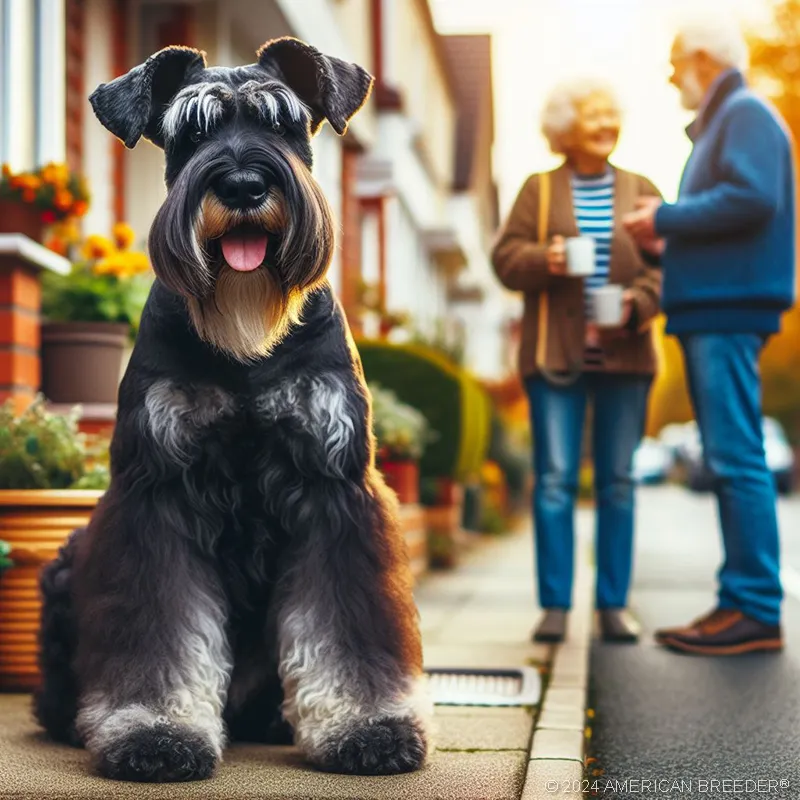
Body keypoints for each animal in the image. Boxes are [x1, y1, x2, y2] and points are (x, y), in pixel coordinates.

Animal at [32, 37, 432, 780]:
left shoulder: (335, 491)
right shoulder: (158, 495)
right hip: (71, 560)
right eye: (190, 133)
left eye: (286, 123)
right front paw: (153, 730)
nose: (244, 186)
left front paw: (369, 725)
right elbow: (157, 633)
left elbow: (348, 626)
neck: (244, 342)